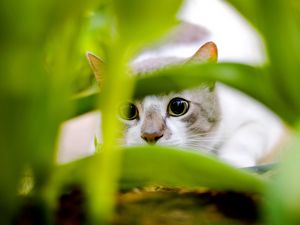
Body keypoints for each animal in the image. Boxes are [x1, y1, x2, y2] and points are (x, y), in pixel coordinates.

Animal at [84, 41, 284, 167]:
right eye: (128, 111)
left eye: (178, 107)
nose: (150, 135)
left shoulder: (259, 117)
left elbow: (245, 139)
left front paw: (233, 164)